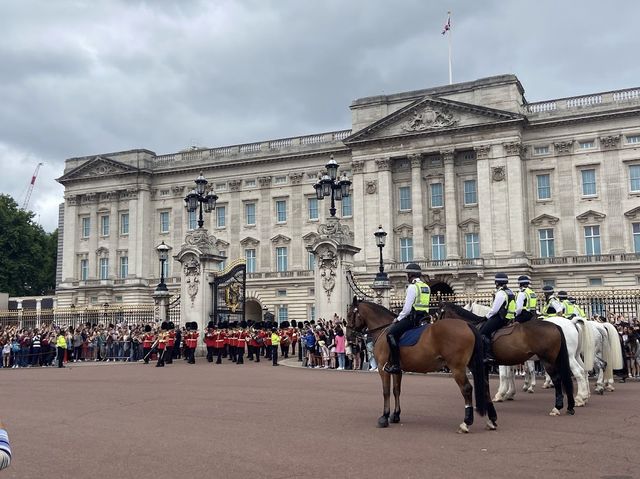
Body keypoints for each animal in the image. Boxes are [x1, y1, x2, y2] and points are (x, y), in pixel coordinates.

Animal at [348, 298, 492, 434]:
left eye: (349, 315)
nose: (349, 338)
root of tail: (468, 325)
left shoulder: (383, 369)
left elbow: (386, 391)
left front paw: (384, 417)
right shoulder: (396, 370)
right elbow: (396, 390)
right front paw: (396, 415)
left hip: (457, 368)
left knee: (467, 389)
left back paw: (466, 423)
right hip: (472, 365)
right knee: (484, 385)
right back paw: (491, 420)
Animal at [440, 304, 576, 416]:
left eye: (439, 314)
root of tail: (556, 325)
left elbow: (501, 377)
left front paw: (499, 396)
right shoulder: (491, 365)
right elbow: (496, 380)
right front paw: (503, 396)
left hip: (548, 361)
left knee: (559, 379)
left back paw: (557, 407)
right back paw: (570, 406)